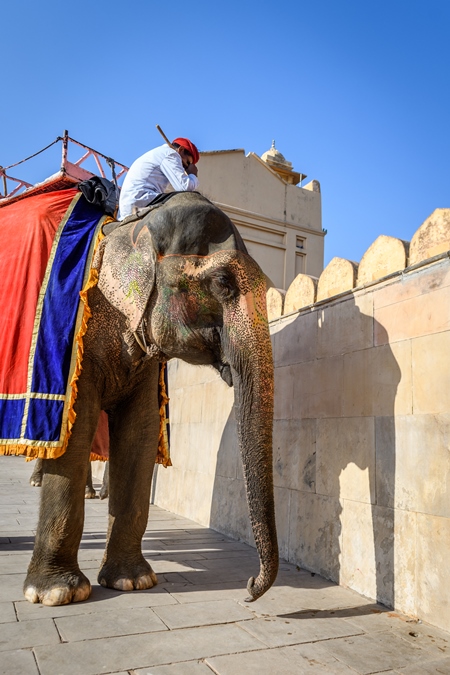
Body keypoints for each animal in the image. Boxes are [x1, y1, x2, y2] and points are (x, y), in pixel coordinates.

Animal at [24, 190, 280, 608]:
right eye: (223, 283)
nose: (248, 589)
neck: (132, 228)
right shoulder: (77, 340)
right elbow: (76, 431)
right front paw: (56, 594)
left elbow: (140, 435)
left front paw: (133, 581)